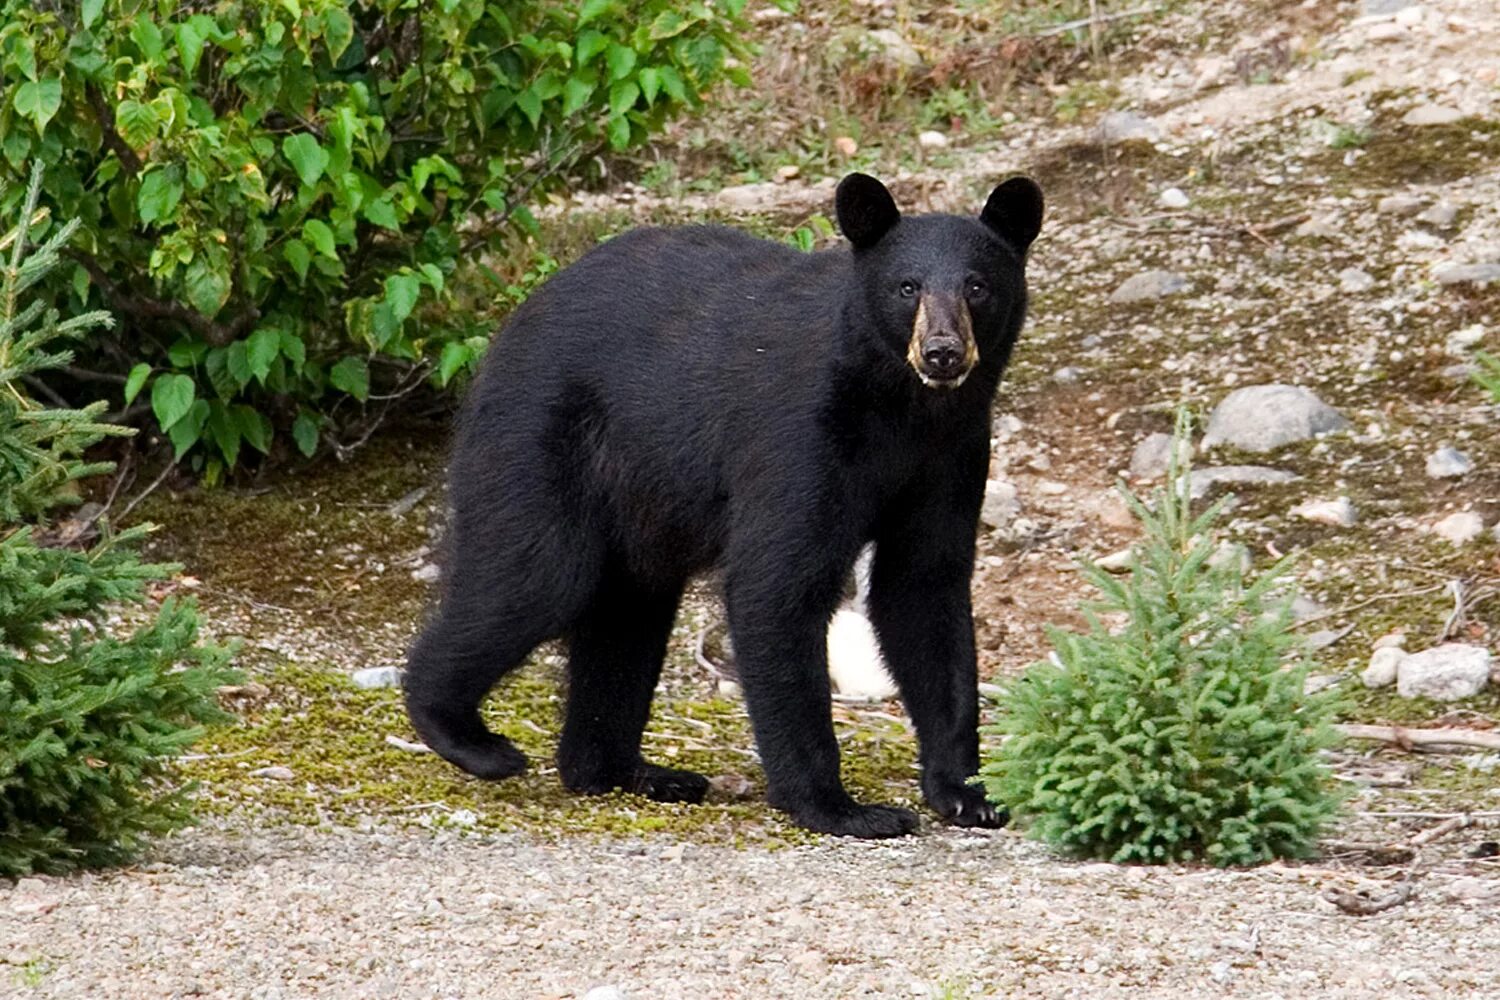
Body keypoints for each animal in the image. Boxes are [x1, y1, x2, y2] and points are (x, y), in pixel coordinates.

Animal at [408, 173, 1044, 839]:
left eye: (977, 286)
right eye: (907, 287)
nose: (942, 351)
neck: (901, 406)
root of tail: (507, 331)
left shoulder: (952, 454)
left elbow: (924, 589)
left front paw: (966, 793)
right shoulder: (800, 436)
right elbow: (777, 583)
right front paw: (839, 806)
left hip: (638, 503)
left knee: (627, 612)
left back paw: (626, 771)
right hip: (542, 439)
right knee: (537, 573)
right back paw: (467, 736)